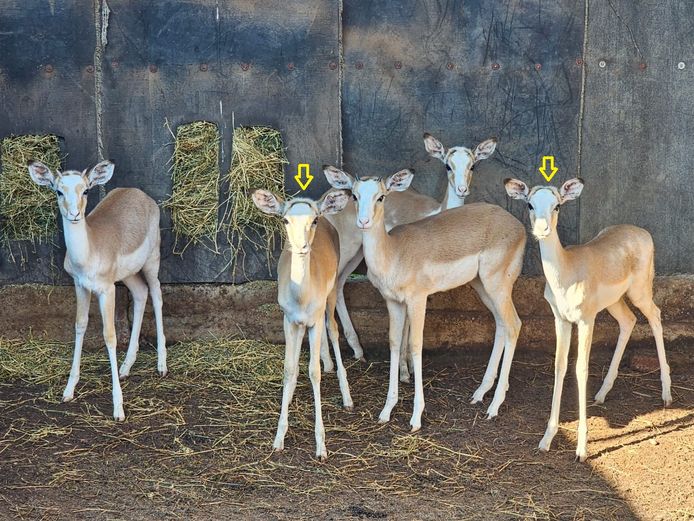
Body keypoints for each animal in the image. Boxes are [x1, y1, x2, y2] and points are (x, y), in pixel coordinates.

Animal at [27, 160, 167, 422]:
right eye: (58, 191)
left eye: (86, 190)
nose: (74, 215)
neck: (90, 251)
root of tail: (138, 193)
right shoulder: (81, 286)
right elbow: (80, 325)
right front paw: (68, 390)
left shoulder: (107, 289)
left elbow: (109, 336)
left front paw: (118, 408)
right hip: (129, 274)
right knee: (141, 294)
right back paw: (125, 367)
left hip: (152, 261)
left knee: (156, 294)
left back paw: (162, 365)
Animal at [251, 188, 353, 460]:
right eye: (285, 220)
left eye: (313, 220)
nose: (302, 247)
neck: (302, 298)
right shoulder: (288, 319)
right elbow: (289, 368)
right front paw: (278, 439)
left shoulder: (315, 318)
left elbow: (314, 372)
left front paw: (321, 447)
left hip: (331, 295)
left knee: (334, 330)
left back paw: (347, 396)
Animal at [324, 167, 526, 430]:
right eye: (355, 196)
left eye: (381, 197)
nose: (363, 222)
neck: (394, 252)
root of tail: (519, 226)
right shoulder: (393, 302)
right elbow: (394, 343)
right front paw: (386, 410)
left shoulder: (417, 300)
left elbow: (416, 345)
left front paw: (416, 417)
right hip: (483, 286)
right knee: (501, 325)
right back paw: (480, 393)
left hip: (497, 285)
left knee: (513, 325)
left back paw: (494, 407)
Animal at [325, 133, 498, 378]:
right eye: (447, 165)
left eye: (472, 165)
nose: (462, 189)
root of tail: (325, 198)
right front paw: (406, 370)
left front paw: (408, 368)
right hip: (346, 249)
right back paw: (328, 362)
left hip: (357, 254)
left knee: (338, 285)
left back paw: (358, 350)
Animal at [504, 178, 672, 461]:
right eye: (529, 204)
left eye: (557, 205)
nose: (542, 229)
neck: (566, 271)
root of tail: (642, 232)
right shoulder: (561, 320)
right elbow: (559, 366)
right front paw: (546, 438)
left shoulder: (586, 320)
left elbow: (580, 369)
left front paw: (581, 448)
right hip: (615, 302)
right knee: (628, 321)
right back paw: (602, 393)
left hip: (639, 292)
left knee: (656, 317)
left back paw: (666, 394)